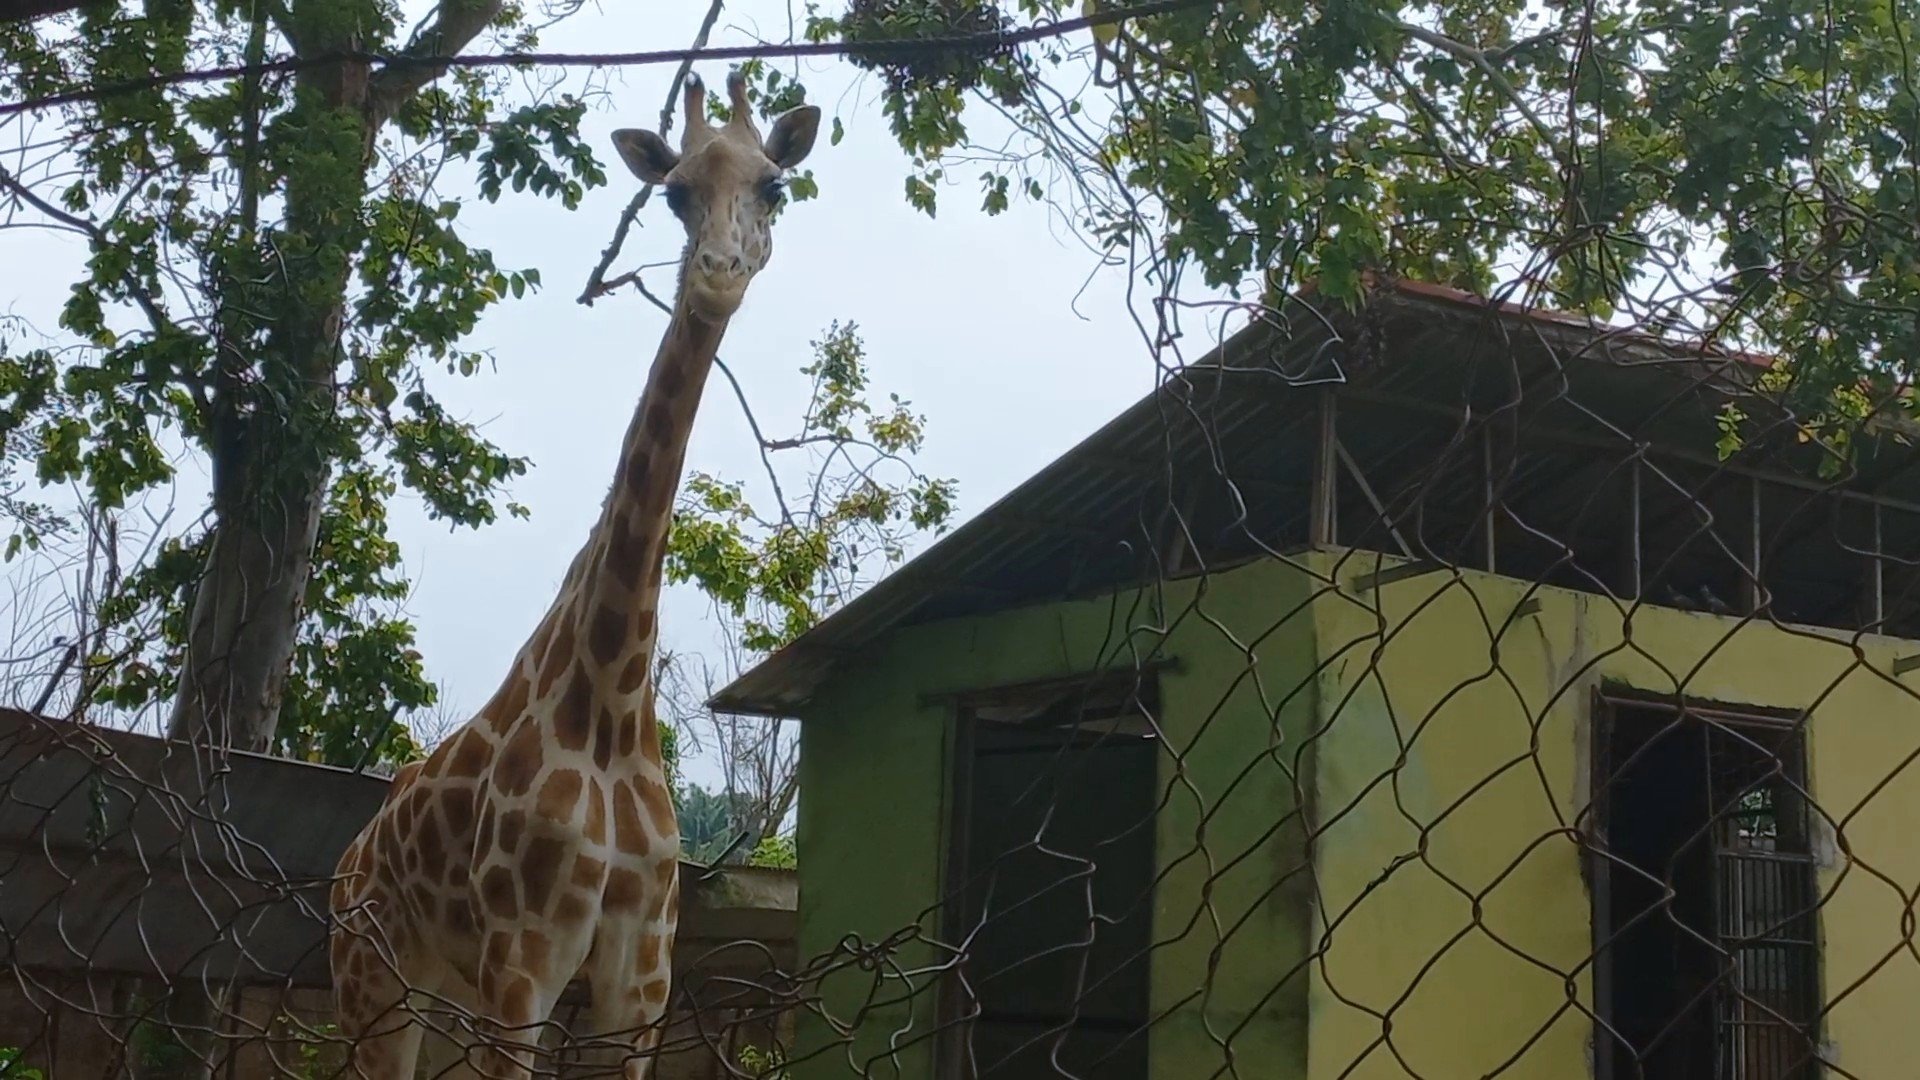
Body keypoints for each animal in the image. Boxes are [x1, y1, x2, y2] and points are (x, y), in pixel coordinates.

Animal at [326, 71, 821, 1068]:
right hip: (373, 991)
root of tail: (346, 867)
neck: (612, 698)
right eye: (674, 194)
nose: (719, 271)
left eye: (773, 186)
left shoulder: (642, 983)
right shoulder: (525, 969)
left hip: (440, 1000)